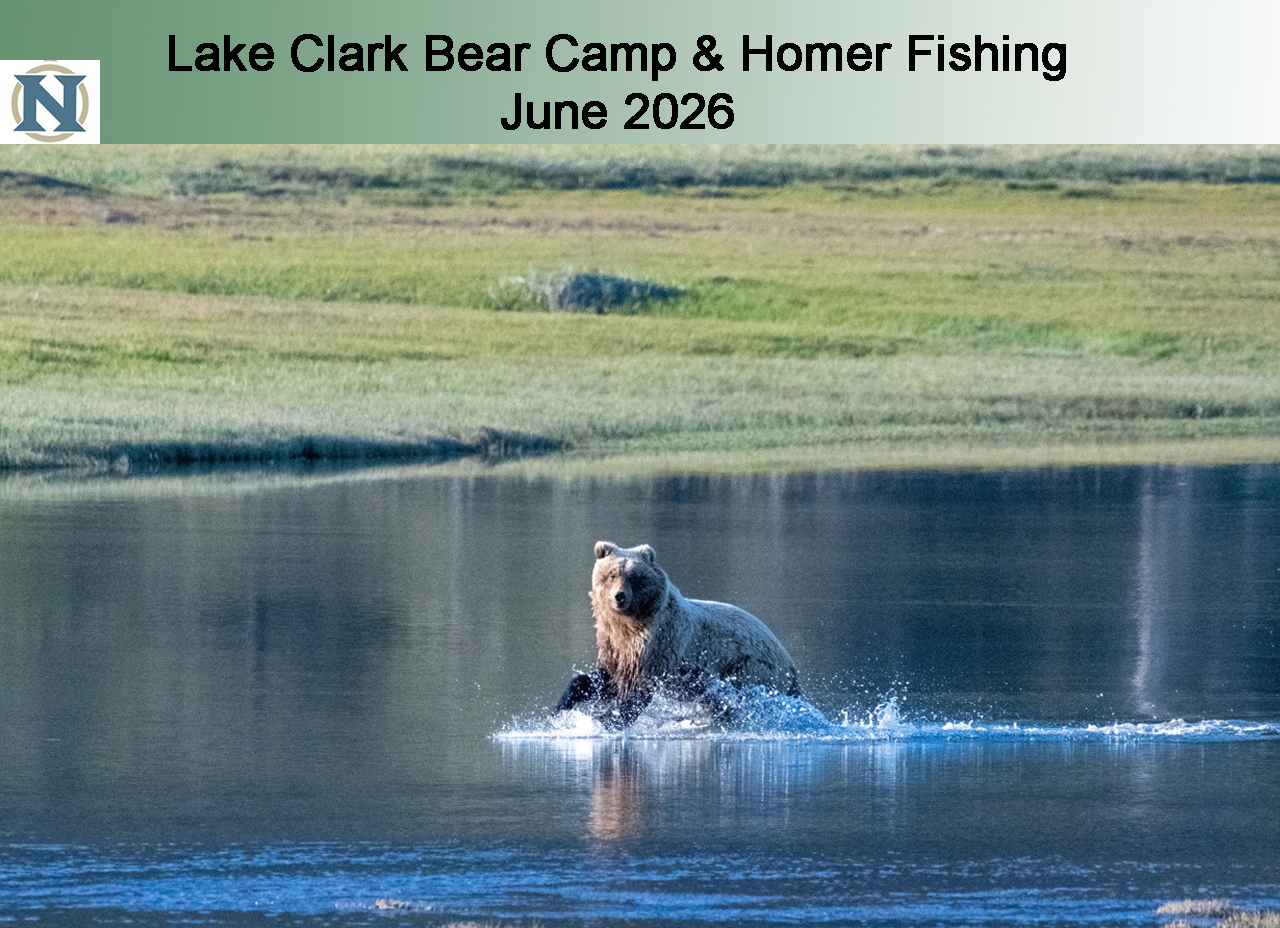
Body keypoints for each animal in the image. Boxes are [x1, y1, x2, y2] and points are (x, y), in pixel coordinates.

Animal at [555, 540, 801, 728]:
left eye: (634, 577)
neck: (627, 625)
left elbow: (635, 691)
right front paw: (563, 704)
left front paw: (606, 720)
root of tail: (789, 660)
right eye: (612, 574)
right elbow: (602, 680)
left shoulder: (656, 645)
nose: (619, 596)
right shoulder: (613, 646)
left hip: (749, 669)